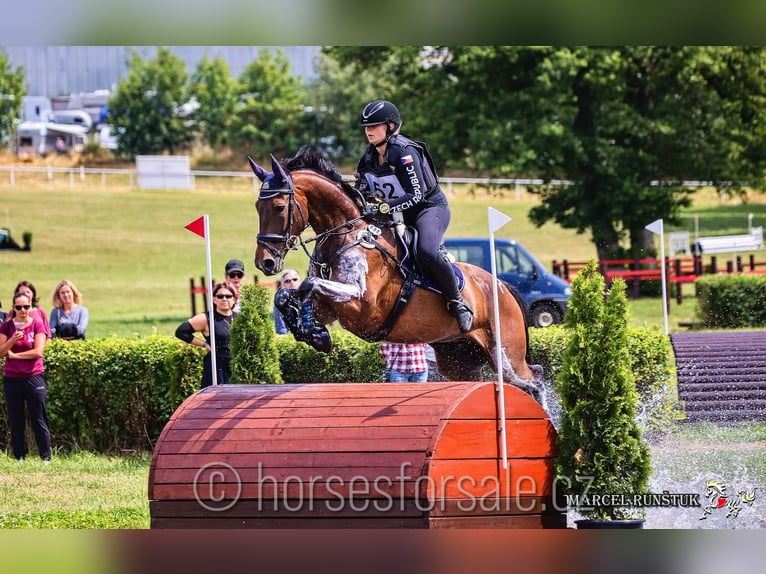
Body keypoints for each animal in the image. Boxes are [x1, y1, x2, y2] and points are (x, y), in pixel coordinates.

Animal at [249, 148, 546, 404]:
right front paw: (312, 332)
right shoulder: (333, 307)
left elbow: (309, 284)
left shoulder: (362, 306)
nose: (265, 262)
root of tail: (503, 287)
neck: (346, 234)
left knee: (535, 380)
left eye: (278, 207)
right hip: (459, 360)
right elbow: (286, 295)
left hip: (505, 354)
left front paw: (311, 330)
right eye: (257, 207)